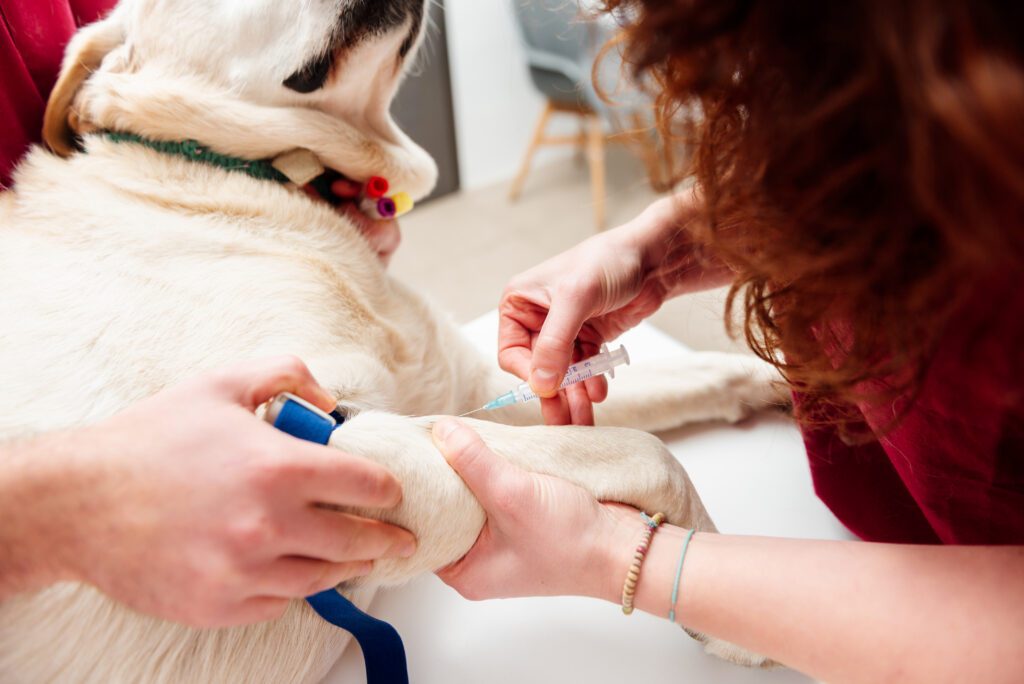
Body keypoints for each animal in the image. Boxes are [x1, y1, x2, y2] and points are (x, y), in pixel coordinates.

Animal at [0, 2, 782, 679]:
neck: (251, 182)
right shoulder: (323, 446)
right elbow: (648, 454)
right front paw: (725, 608)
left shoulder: (473, 391)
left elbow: (696, 379)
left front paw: (787, 383)